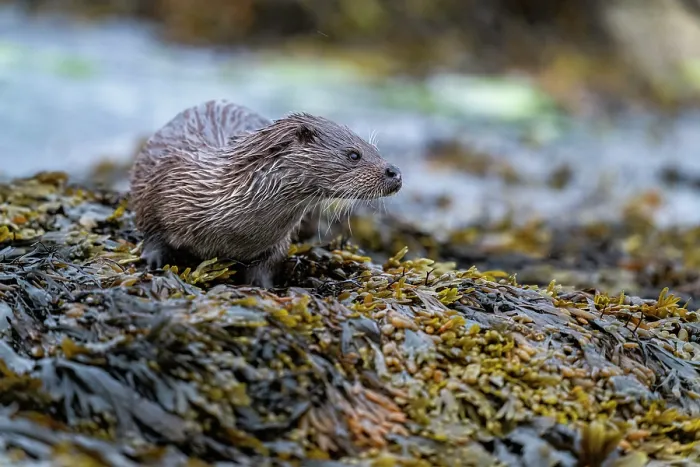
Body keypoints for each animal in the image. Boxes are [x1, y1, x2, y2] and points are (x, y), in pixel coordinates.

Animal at [129, 99, 402, 288]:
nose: (395, 172)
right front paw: (152, 261)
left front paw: (264, 287)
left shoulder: (276, 241)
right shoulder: (160, 182)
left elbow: (268, 265)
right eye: (354, 154)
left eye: (376, 150)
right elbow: (151, 228)